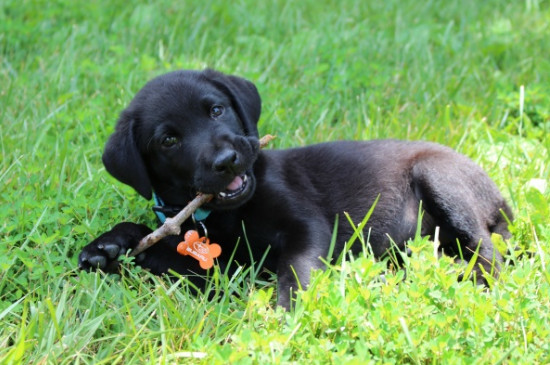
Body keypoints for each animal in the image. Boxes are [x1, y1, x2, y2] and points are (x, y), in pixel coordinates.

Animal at [80, 67, 516, 308]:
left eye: (216, 110)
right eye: (168, 140)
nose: (227, 160)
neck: (225, 215)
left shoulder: (307, 227)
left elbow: (296, 269)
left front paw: (286, 314)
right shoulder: (213, 268)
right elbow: (158, 249)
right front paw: (107, 245)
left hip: (441, 179)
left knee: (488, 254)